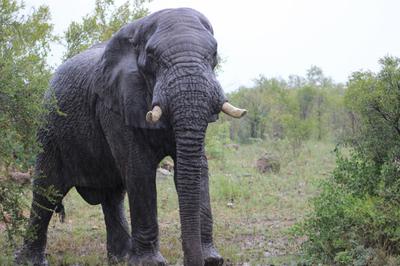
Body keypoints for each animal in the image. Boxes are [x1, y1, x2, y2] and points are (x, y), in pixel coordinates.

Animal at [14, 7, 247, 264]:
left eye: (214, 55)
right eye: (153, 57)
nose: (194, 260)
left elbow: (197, 168)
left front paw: (211, 259)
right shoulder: (114, 104)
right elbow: (140, 170)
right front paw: (151, 263)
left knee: (112, 196)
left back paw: (120, 258)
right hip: (50, 130)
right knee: (47, 192)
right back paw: (29, 261)